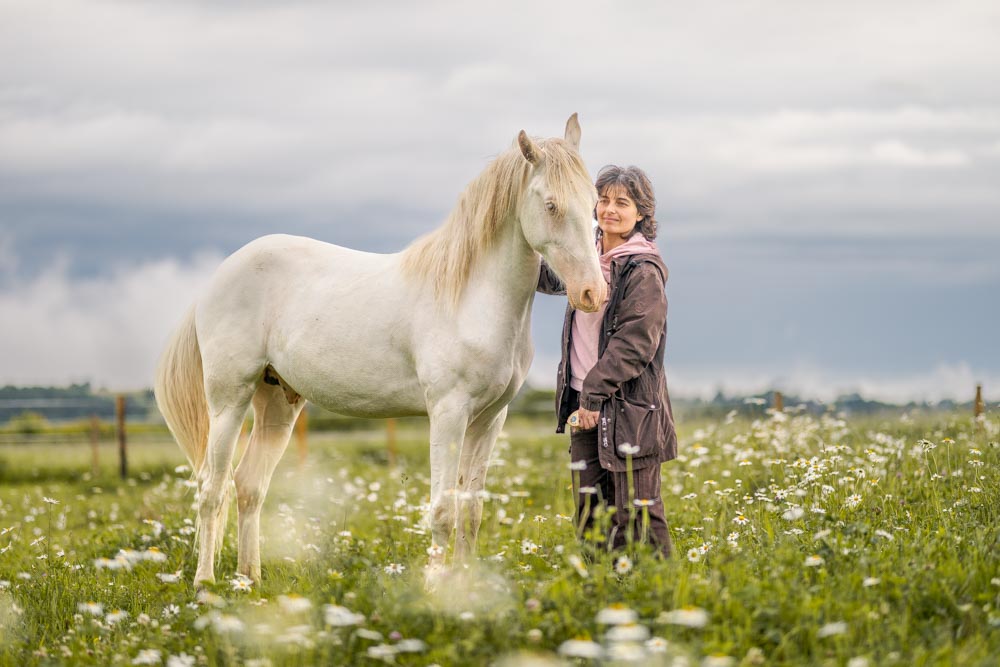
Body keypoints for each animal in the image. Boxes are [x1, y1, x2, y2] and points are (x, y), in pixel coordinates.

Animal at [154, 114, 606, 585]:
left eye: (594, 202)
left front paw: (465, 586)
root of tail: (217, 277)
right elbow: (443, 509)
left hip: (276, 403)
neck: (471, 297)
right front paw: (436, 585)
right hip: (229, 400)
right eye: (551, 205)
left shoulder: (488, 420)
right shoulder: (448, 413)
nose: (593, 293)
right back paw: (205, 582)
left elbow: (471, 510)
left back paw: (250, 580)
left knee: (248, 485)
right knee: (212, 488)